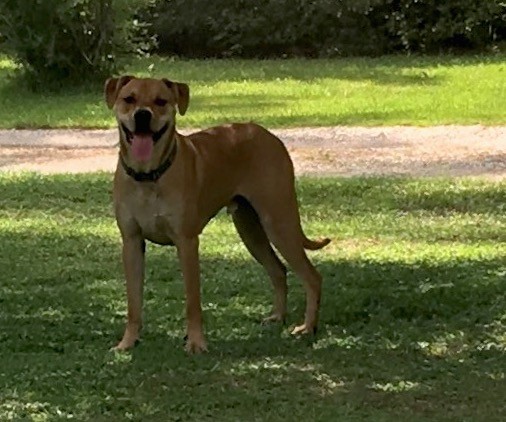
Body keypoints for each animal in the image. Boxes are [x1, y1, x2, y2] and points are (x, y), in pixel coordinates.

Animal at [105, 76, 330, 352]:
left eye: (160, 101)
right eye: (129, 99)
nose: (143, 115)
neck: (149, 176)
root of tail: (266, 133)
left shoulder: (187, 243)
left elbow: (193, 301)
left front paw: (196, 342)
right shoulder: (131, 242)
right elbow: (133, 303)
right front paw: (128, 342)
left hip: (279, 222)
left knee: (312, 277)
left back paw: (307, 327)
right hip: (249, 228)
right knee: (278, 270)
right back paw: (278, 316)